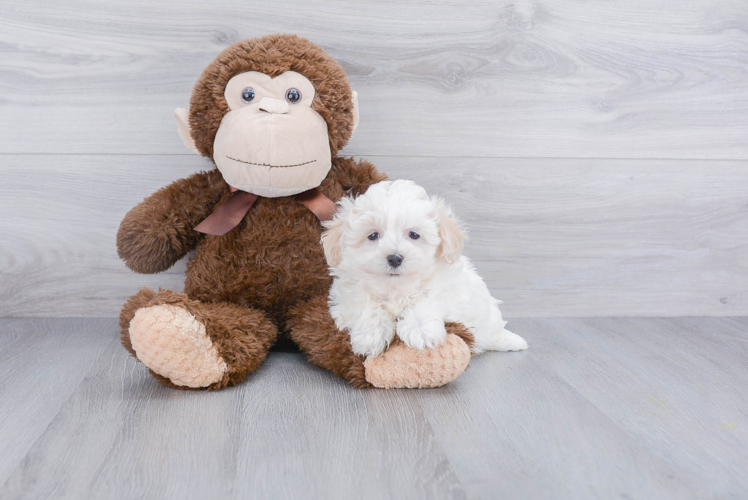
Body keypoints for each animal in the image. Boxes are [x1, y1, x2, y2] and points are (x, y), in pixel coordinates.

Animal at [324, 180, 528, 360]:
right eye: (373, 235)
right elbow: (366, 306)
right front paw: (371, 335)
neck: (397, 287)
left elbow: (427, 300)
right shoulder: (348, 295)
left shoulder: (450, 290)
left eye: (414, 235)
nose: (394, 258)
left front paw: (419, 329)